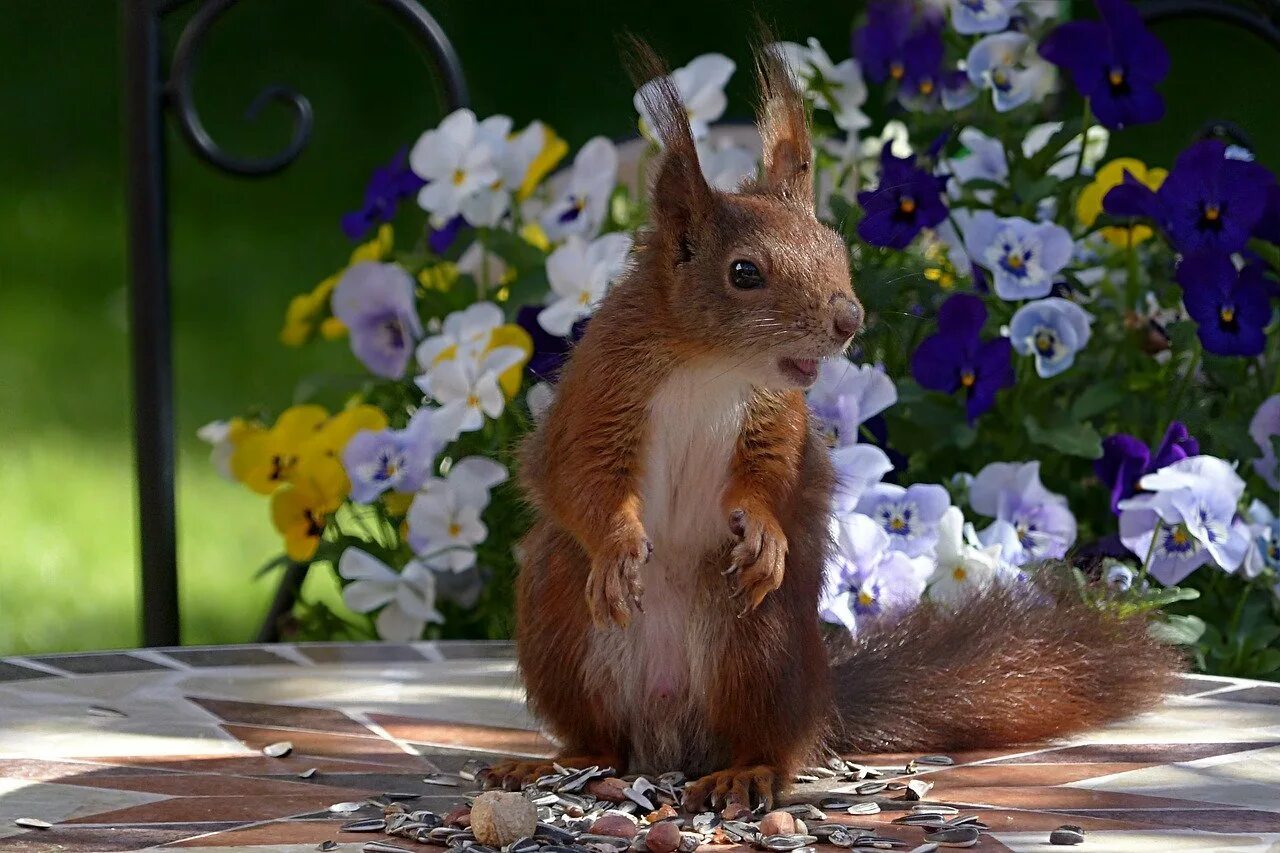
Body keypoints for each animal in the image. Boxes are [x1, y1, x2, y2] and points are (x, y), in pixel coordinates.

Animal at [486, 41, 1177, 809]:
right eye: (744, 272)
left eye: (836, 249)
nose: (849, 319)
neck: (709, 365)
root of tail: (669, 740)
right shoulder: (602, 394)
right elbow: (582, 475)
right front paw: (617, 547)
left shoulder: (774, 418)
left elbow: (769, 477)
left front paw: (763, 529)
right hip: (560, 625)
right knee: (600, 739)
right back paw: (557, 763)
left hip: (759, 643)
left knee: (769, 743)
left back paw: (746, 770)